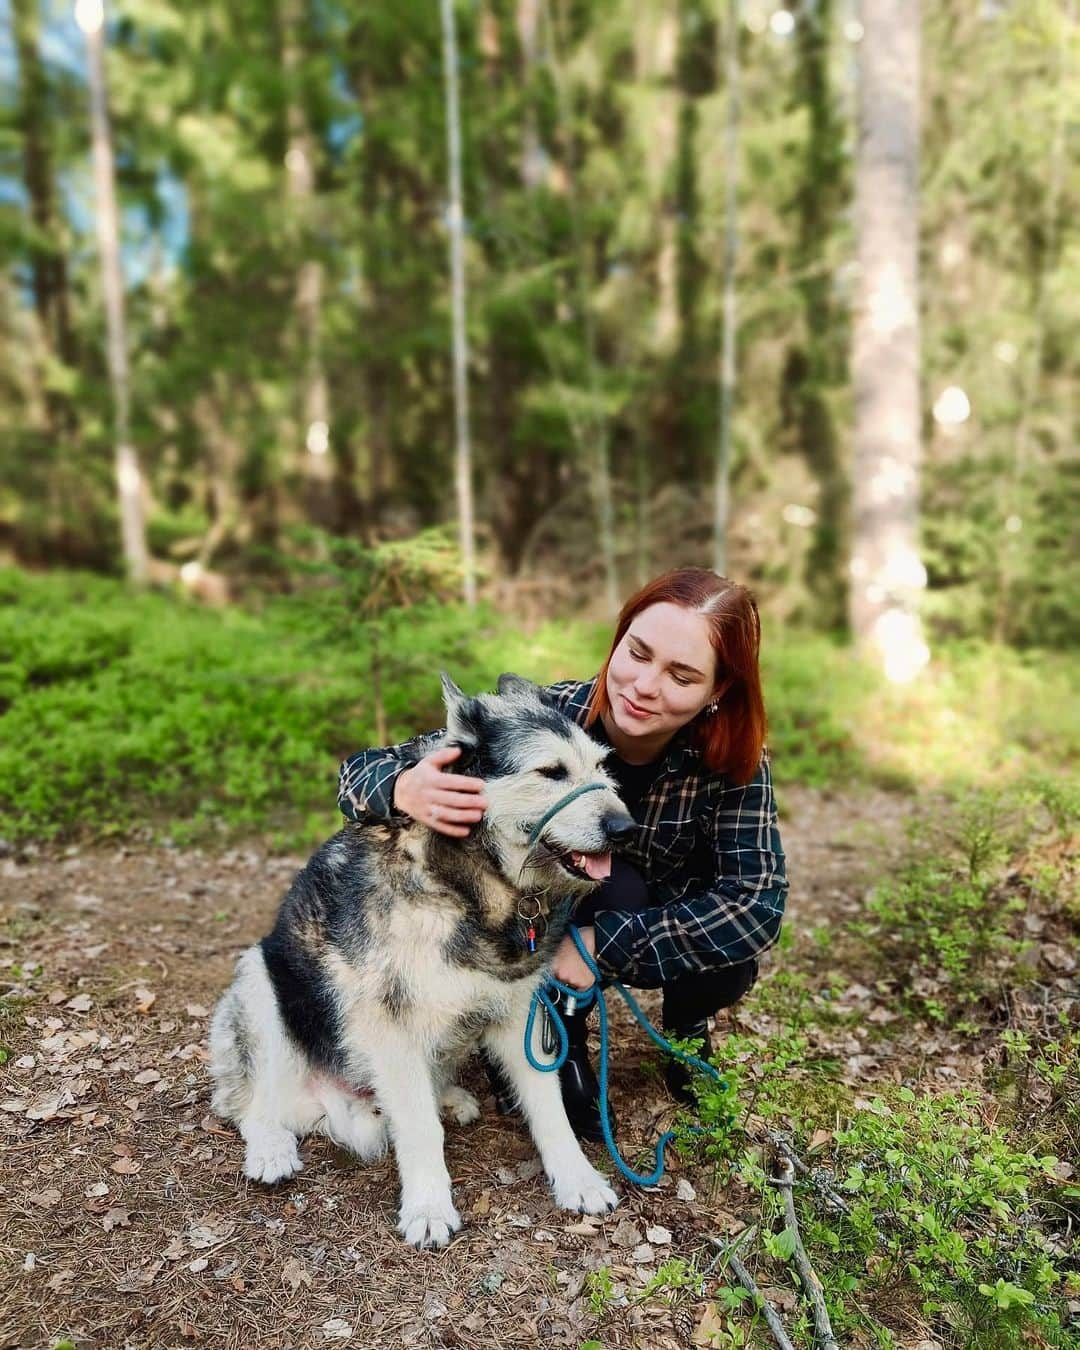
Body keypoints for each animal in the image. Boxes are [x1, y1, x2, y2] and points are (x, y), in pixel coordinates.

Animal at [209, 669, 631, 1247]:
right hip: (261, 984)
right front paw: (429, 1206)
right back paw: (270, 1147)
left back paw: (447, 1096)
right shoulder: (392, 1028)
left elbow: (550, 1112)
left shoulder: (521, 1014)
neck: (471, 882)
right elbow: (418, 1129)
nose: (626, 828)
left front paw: (578, 1181)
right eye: (551, 772)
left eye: (601, 767)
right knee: (247, 1104)